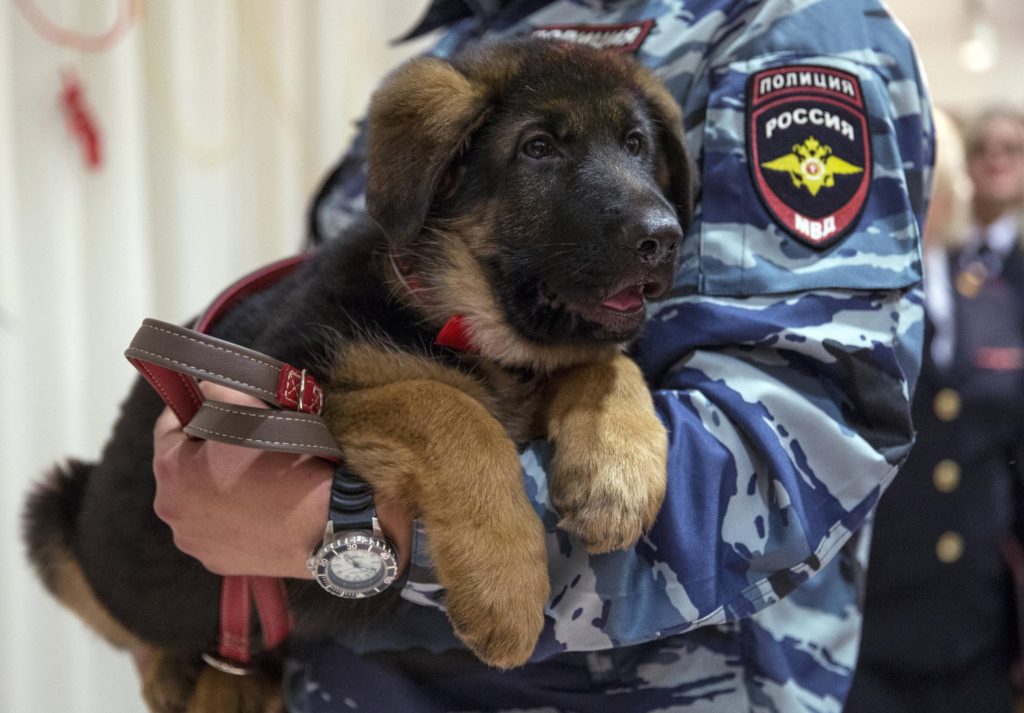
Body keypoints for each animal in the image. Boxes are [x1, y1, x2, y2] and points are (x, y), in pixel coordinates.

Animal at [22, 38, 688, 713]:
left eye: (637, 145)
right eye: (538, 148)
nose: (665, 240)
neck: (455, 314)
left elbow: (604, 362)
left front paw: (616, 472)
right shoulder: (290, 394)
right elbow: (444, 405)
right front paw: (505, 589)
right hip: (51, 516)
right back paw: (180, 672)